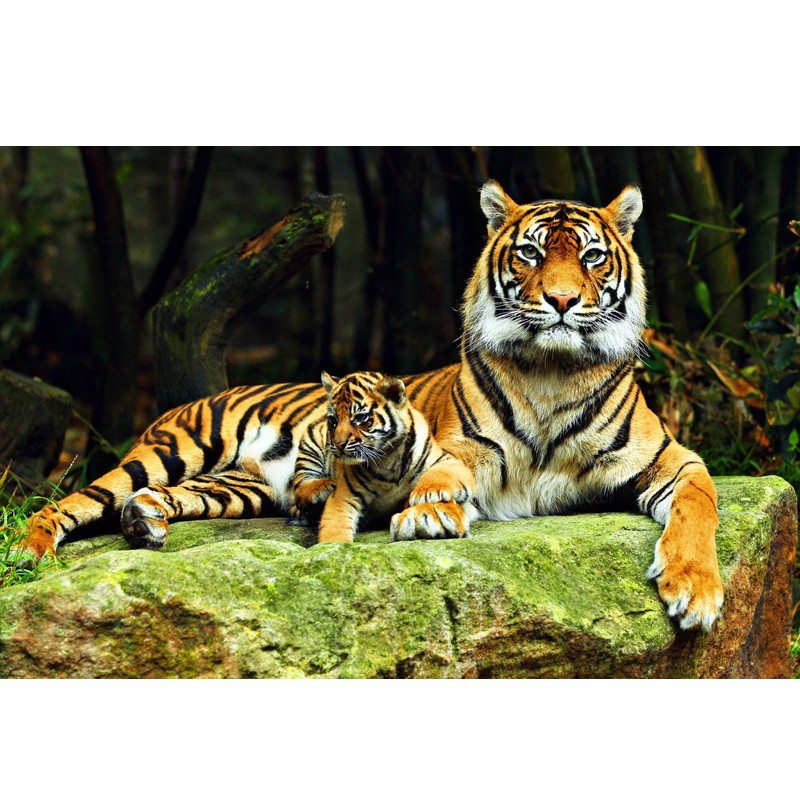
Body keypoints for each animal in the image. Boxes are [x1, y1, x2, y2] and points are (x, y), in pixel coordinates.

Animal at [288, 370, 476, 543]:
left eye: (360, 417)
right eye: (333, 420)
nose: (339, 444)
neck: (388, 459)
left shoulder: (448, 460)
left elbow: (440, 474)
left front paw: (426, 493)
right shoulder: (345, 495)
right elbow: (335, 527)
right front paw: (335, 547)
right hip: (311, 443)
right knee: (299, 489)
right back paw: (324, 486)